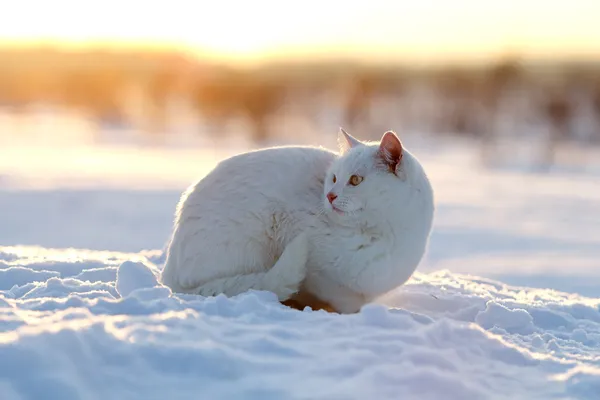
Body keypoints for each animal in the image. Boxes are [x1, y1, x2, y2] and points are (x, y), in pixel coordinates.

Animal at [159, 130, 434, 314]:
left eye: (355, 180)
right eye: (334, 178)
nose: (329, 195)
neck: (385, 235)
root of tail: (170, 277)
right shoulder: (319, 273)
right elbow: (337, 297)